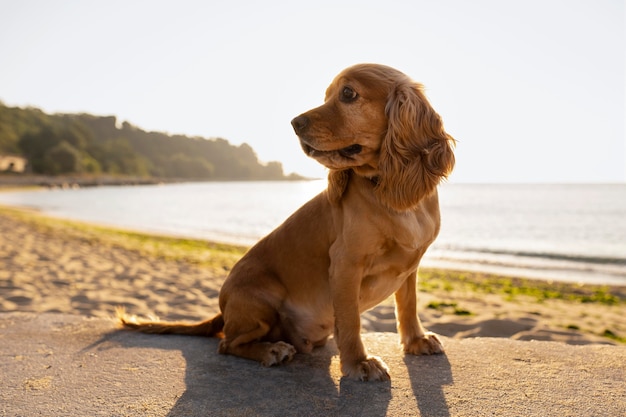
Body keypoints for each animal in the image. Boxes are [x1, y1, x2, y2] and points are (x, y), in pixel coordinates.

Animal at [119, 62, 456, 380]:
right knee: (227, 343)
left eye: (348, 94)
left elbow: (408, 305)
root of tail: (223, 310)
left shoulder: (410, 265)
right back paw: (271, 350)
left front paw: (416, 340)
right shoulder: (345, 263)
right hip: (260, 302)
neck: (392, 195)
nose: (295, 123)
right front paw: (358, 363)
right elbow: (351, 320)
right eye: (327, 95)